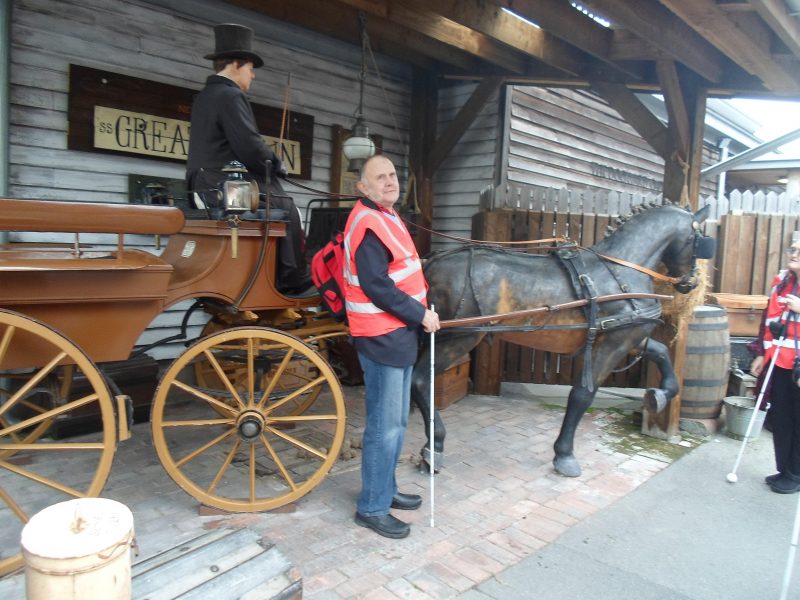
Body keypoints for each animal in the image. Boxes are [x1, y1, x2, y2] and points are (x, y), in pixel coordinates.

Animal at [412, 204, 712, 476]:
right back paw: (434, 446)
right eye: (698, 241)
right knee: (420, 381)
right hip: (460, 337)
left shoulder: (626, 333)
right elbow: (582, 394)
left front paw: (659, 396)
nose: (692, 282)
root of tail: (431, 263)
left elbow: (660, 351)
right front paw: (565, 455)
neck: (619, 270)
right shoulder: (613, 344)